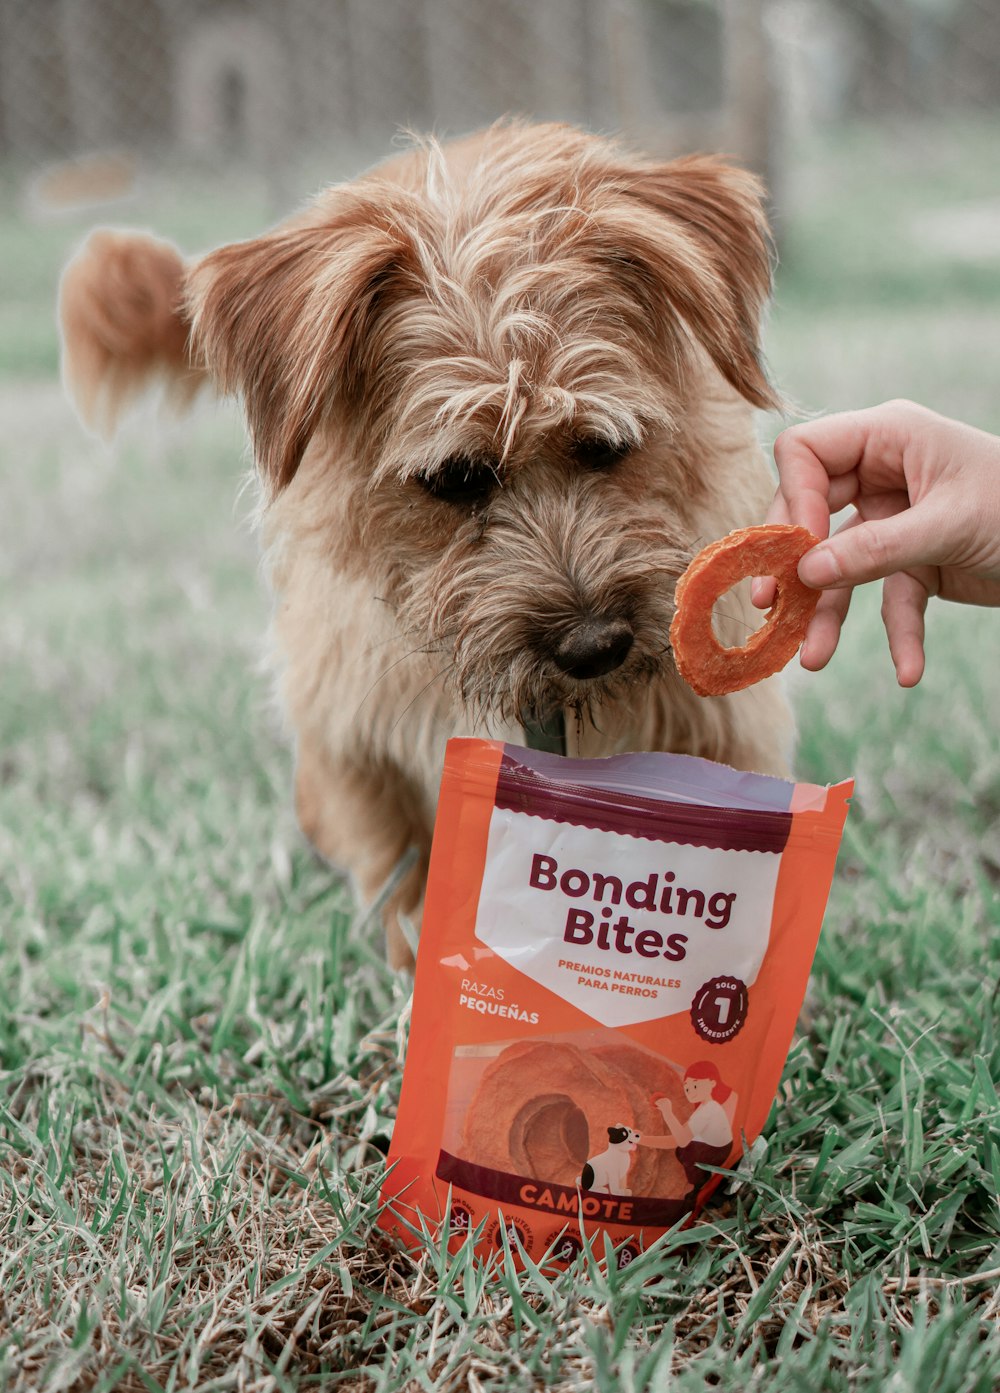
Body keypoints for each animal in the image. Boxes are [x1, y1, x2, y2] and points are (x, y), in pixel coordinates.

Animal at [60, 119, 796, 969]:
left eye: (605, 445)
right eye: (456, 477)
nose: (594, 646)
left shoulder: (722, 722)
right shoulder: (351, 716)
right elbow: (402, 848)